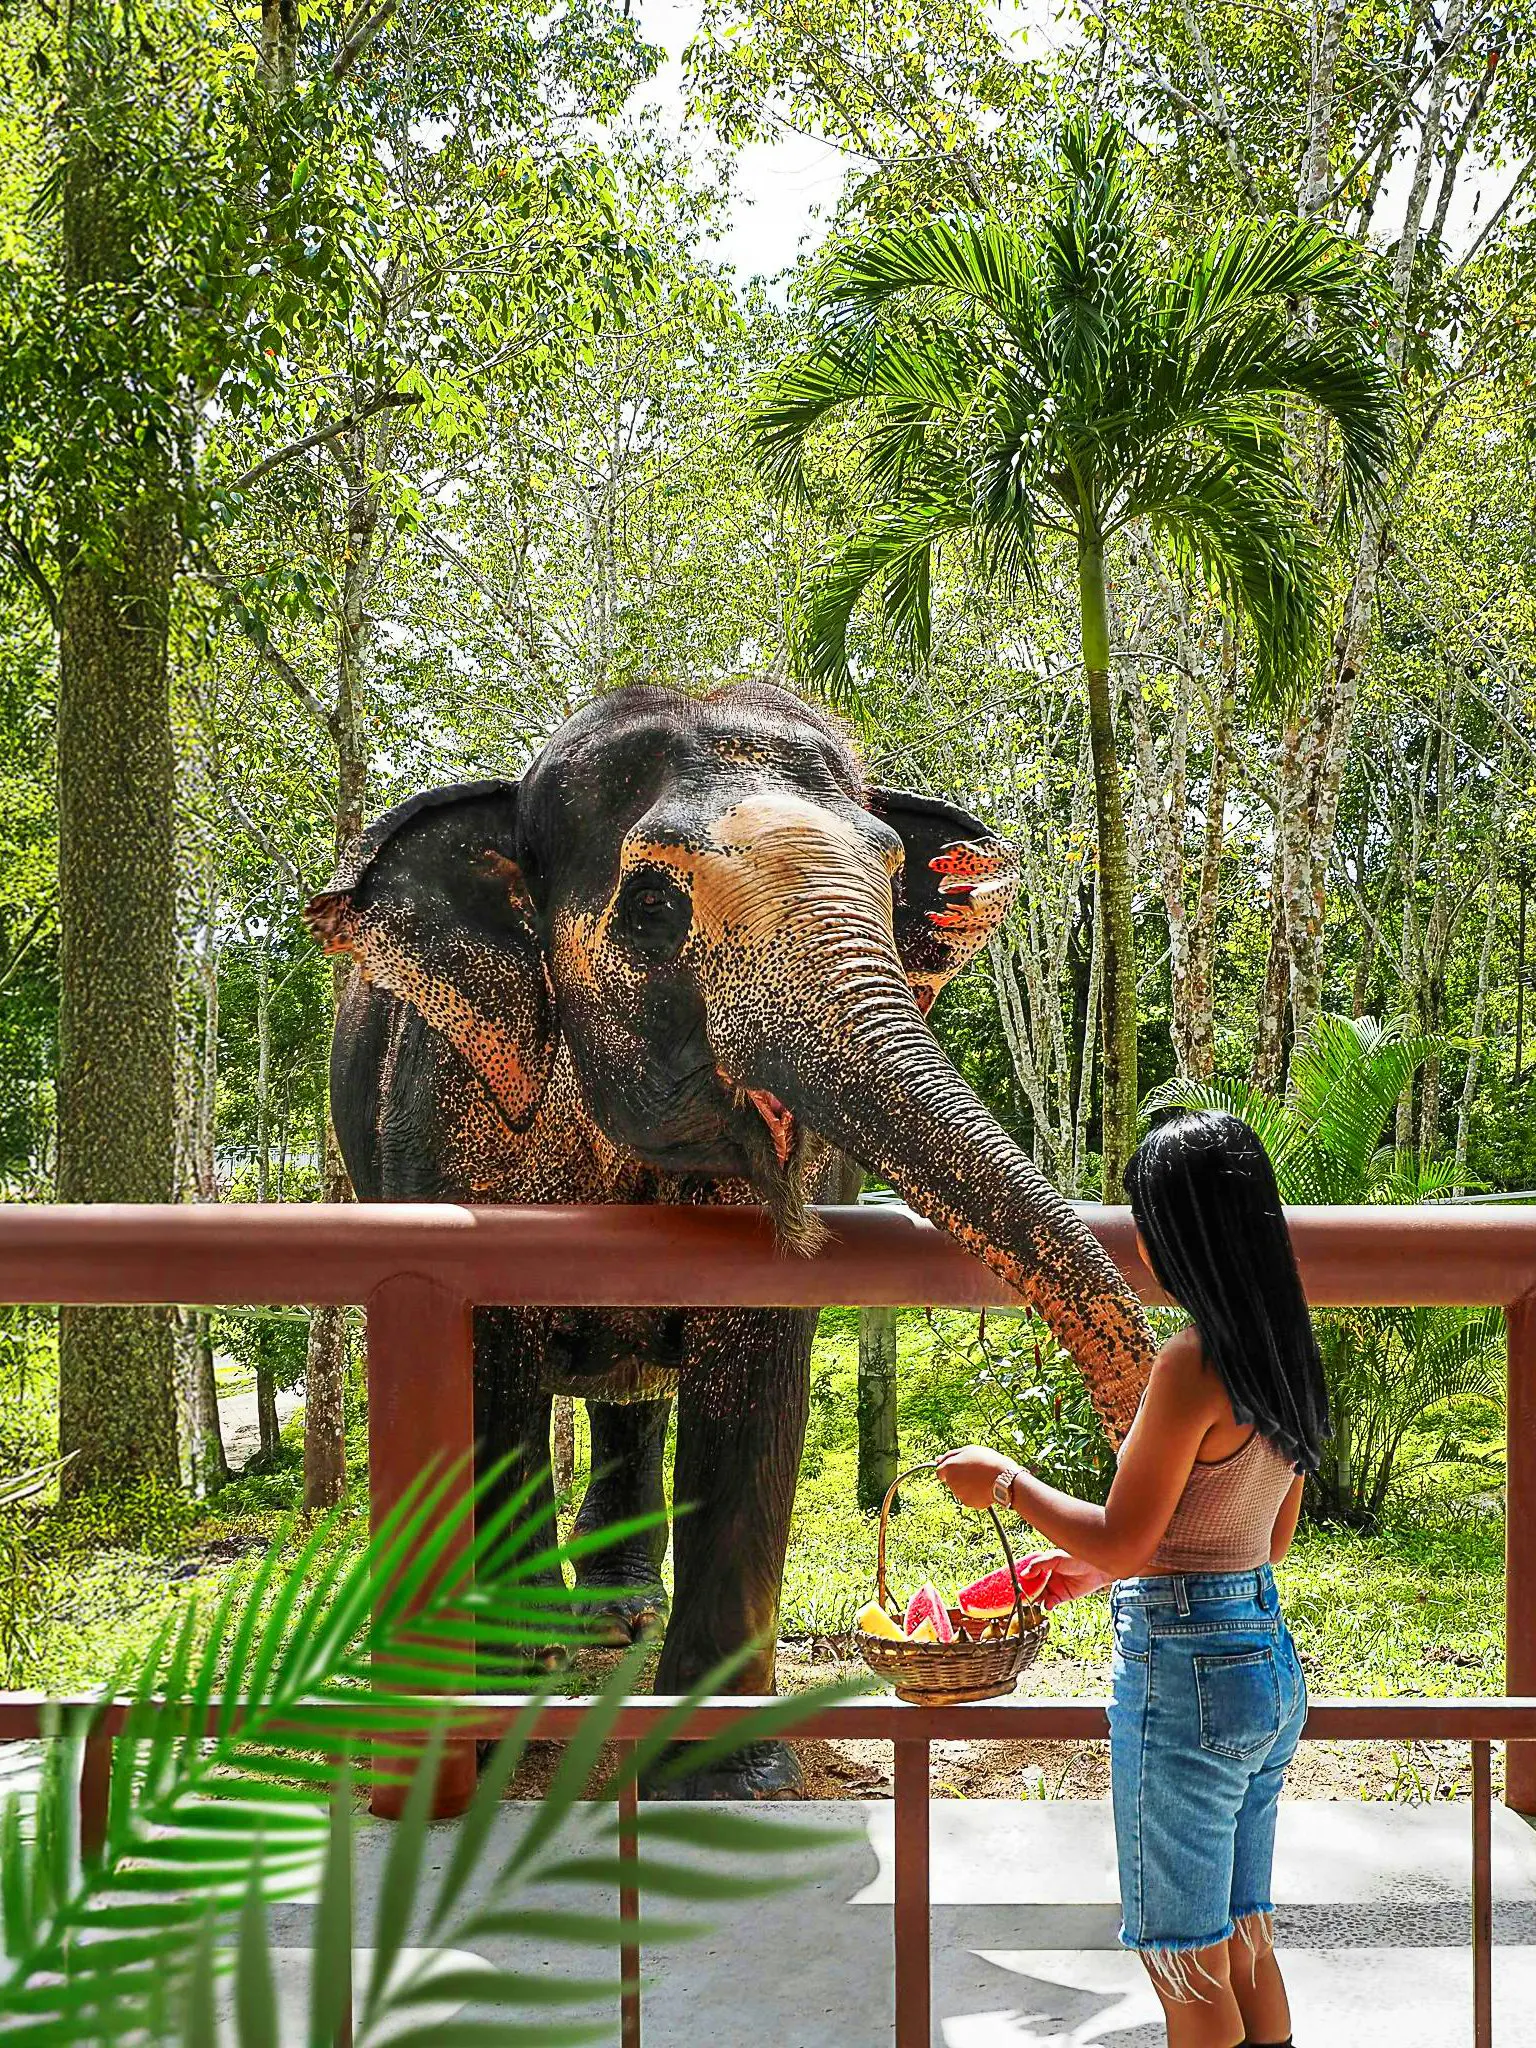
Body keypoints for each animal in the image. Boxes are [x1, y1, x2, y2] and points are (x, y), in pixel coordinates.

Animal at [307, 681, 1153, 1795]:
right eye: (653, 905)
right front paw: (504, 1713)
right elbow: (487, 1387)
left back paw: (616, 1615)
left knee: (633, 1397)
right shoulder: (443, 1115)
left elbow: (755, 1385)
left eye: (890, 875)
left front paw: (723, 1777)